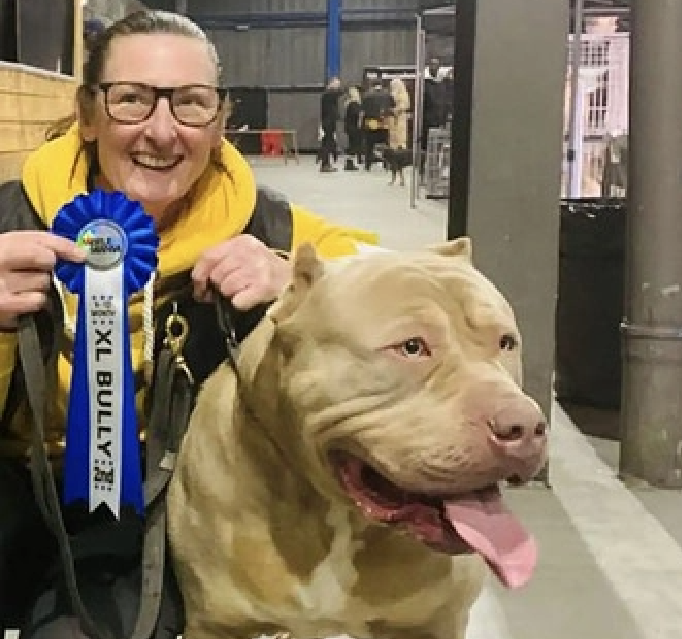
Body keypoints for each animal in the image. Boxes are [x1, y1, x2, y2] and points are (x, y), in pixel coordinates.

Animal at [167, 238, 548, 639]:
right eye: (411, 347)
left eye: (507, 342)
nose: (525, 427)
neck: (340, 517)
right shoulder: (216, 624)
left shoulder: (436, 623)